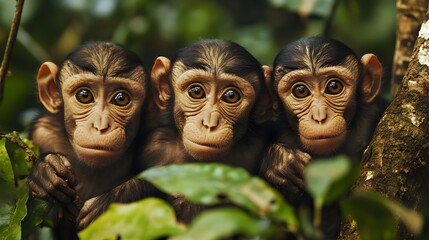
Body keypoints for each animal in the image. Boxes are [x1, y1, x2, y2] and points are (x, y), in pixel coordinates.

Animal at [28, 41, 159, 238]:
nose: (100, 125)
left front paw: (111, 203)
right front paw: (45, 171)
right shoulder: (42, 133)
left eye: (121, 98)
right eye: (84, 95)